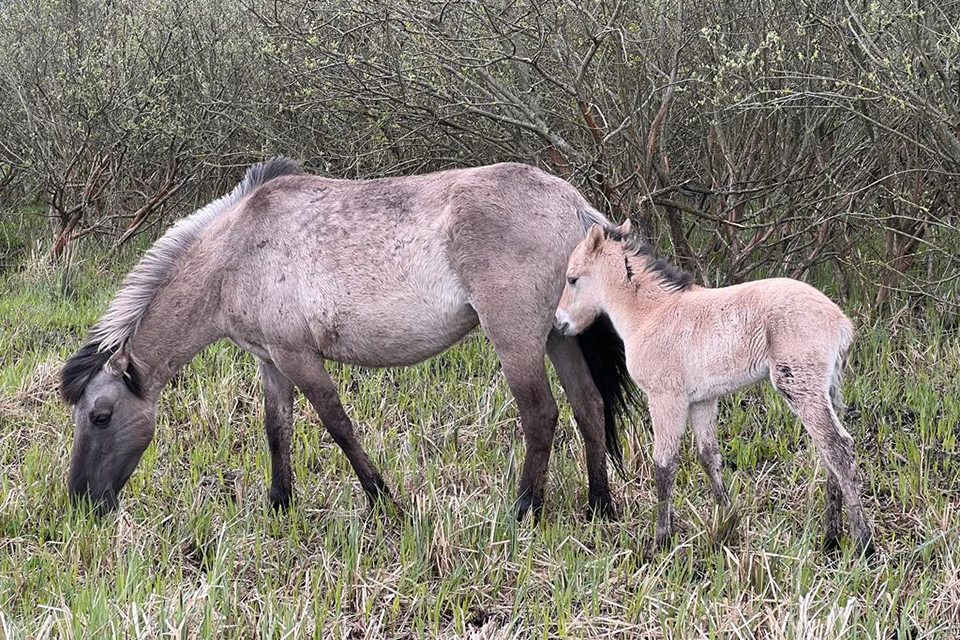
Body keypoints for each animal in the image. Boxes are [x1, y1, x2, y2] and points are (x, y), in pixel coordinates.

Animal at [63, 159, 640, 520]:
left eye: (101, 416)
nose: (82, 502)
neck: (236, 253)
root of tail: (576, 207)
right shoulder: (271, 360)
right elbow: (276, 429)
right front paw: (279, 503)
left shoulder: (299, 356)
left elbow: (337, 425)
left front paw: (385, 502)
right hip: (559, 338)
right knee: (589, 407)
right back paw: (599, 507)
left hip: (516, 338)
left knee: (541, 415)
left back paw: (524, 511)